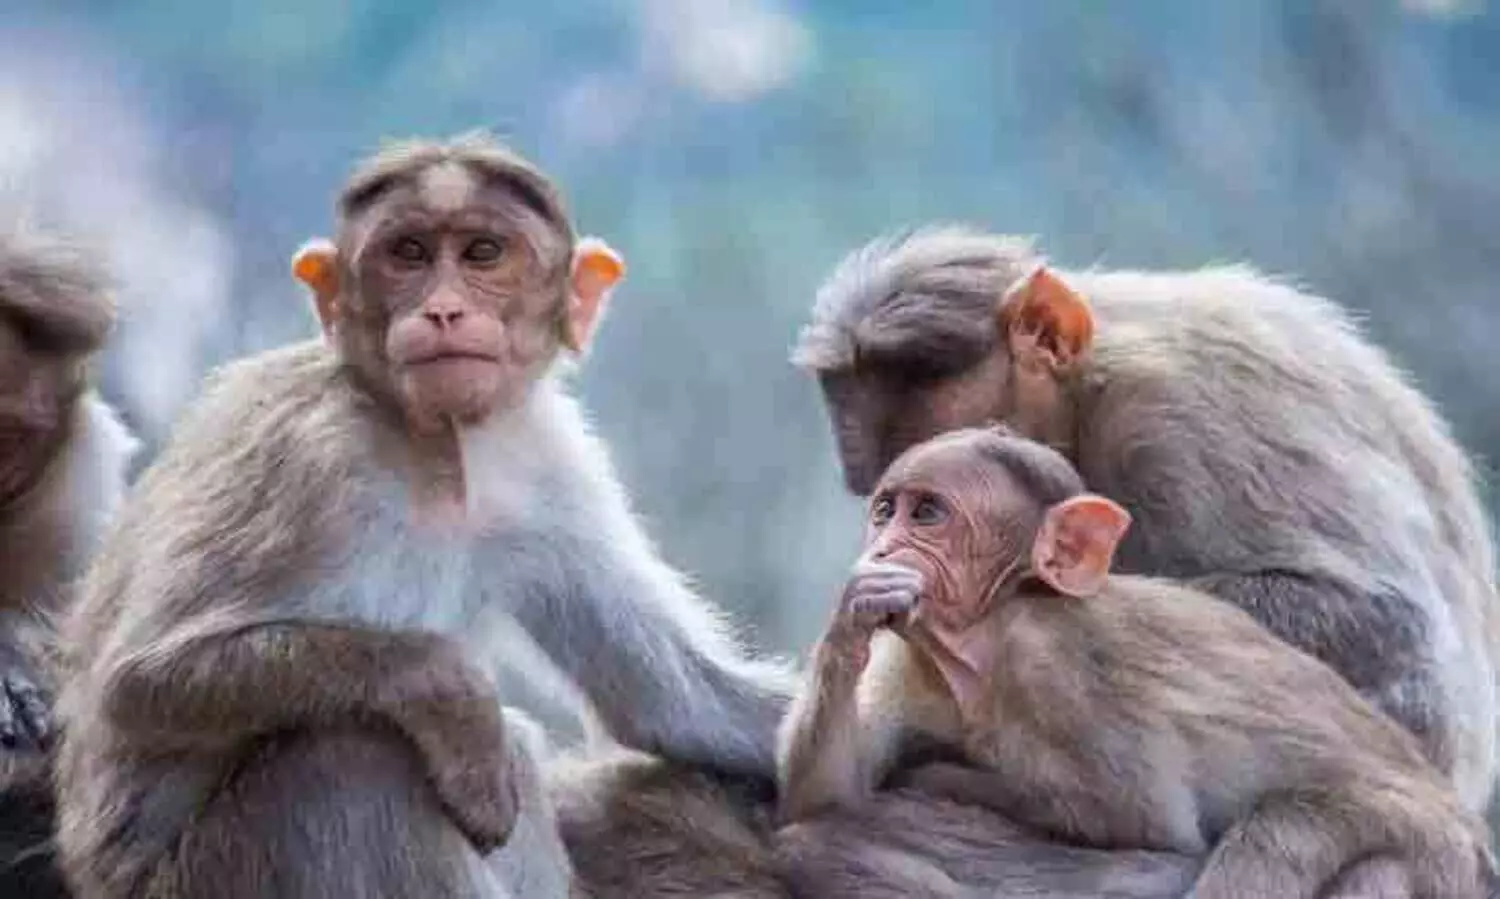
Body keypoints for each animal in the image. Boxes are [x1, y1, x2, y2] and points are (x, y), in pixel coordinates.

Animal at [52, 133, 794, 899]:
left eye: (483, 253)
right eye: (407, 252)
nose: (443, 310)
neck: (432, 449)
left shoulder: (548, 460)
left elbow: (674, 701)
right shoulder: (304, 461)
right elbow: (137, 682)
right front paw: (452, 695)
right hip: (208, 875)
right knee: (349, 756)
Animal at [776, 425, 1494, 899]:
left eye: (927, 512)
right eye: (885, 510)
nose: (883, 545)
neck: (992, 628)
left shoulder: (1059, 670)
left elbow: (1145, 824)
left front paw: (940, 778)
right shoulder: (910, 660)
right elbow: (829, 790)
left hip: (1438, 854)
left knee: (1292, 836)